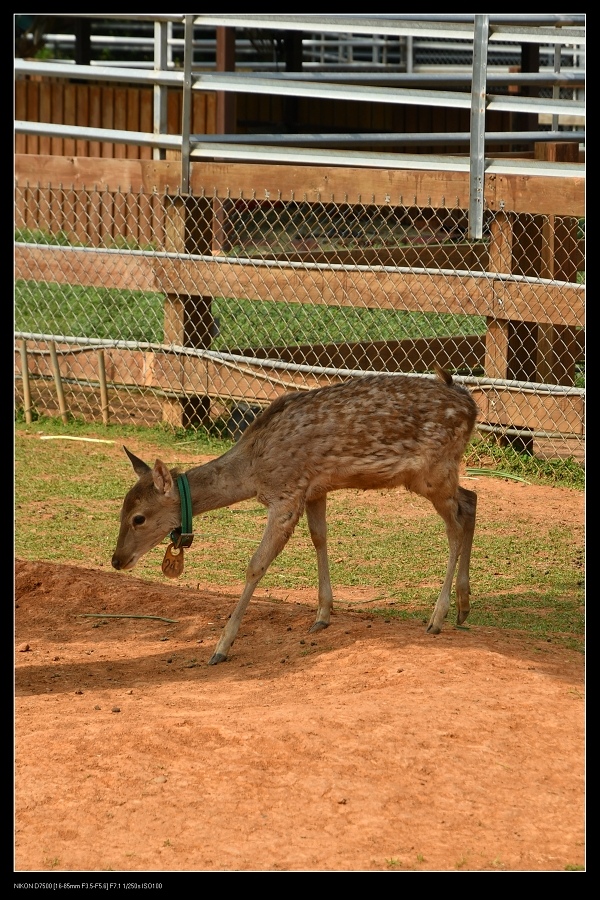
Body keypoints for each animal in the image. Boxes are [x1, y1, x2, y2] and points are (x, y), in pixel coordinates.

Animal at [111, 368, 478, 668]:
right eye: (121, 511)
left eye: (138, 518)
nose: (117, 560)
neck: (252, 471)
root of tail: (472, 406)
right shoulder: (315, 488)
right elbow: (319, 537)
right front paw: (322, 615)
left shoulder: (286, 493)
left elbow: (256, 564)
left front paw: (221, 647)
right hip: (438, 474)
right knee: (471, 499)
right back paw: (463, 606)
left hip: (433, 470)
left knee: (456, 523)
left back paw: (438, 617)